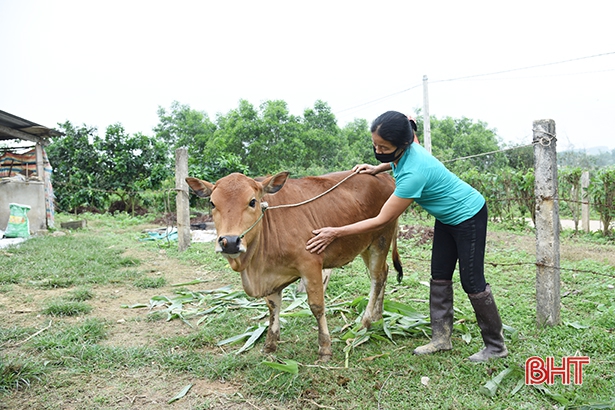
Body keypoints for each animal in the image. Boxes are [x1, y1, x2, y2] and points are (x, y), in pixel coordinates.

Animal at [185, 171, 402, 362]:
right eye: (212, 203)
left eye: (252, 201)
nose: (229, 242)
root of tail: (386, 177)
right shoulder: (271, 275)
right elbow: (273, 307)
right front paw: (270, 345)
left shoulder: (311, 264)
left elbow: (317, 307)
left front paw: (325, 348)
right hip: (365, 243)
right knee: (384, 273)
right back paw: (377, 315)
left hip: (381, 239)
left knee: (376, 278)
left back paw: (365, 323)